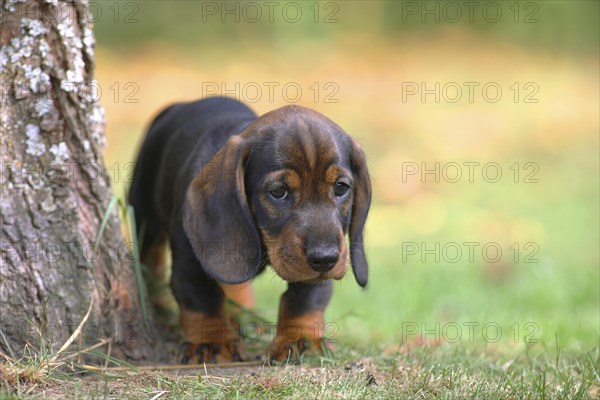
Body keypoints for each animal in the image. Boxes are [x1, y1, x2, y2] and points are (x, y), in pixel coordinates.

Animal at [129, 97, 370, 362]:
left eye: (341, 187)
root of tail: (178, 104)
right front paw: (210, 342)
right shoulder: (189, 258)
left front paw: (300, 339)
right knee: (150, 259)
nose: (326, 258)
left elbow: (305, 298)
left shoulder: (312, 274)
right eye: (278, 191)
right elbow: (202, 297)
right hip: (144, 217)